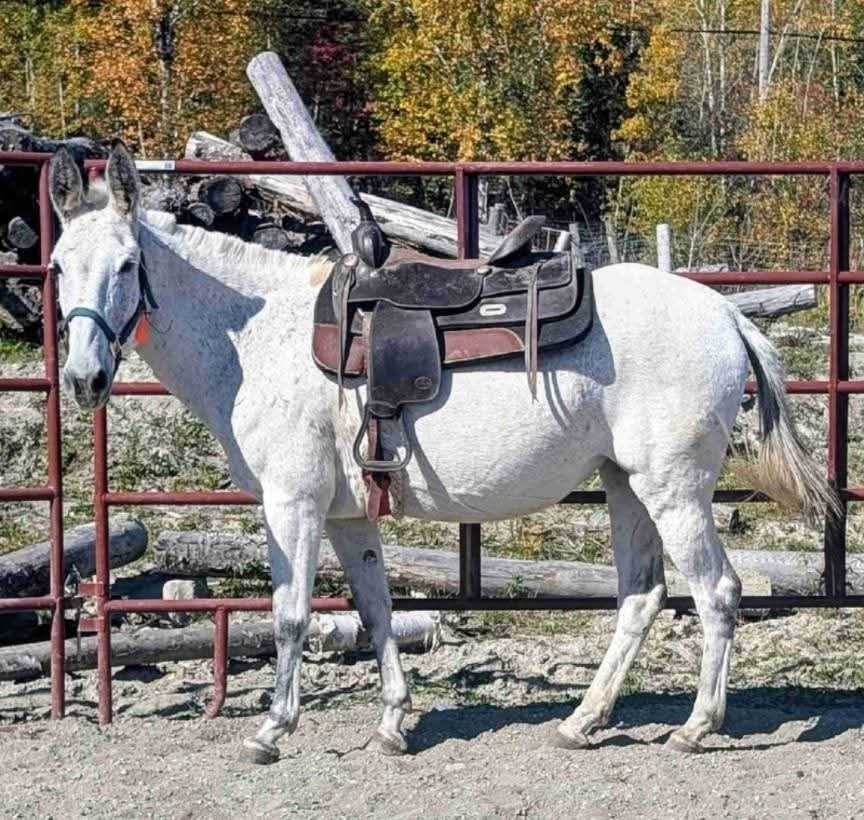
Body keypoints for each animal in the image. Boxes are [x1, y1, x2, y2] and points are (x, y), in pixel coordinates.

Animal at [48, 143, 835, 763]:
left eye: (127, 265)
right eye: (57, 267)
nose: (84, 378)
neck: (260, 337)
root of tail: (726, 312)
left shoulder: (292, 504)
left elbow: (291, 613)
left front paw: (272, 730)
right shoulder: (348, 516)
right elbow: (374, 609)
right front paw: (393, 723)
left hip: (674, 490)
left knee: (717, 591)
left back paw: (697, 727)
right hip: (625, 486)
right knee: (642, 597)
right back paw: (583, 721)